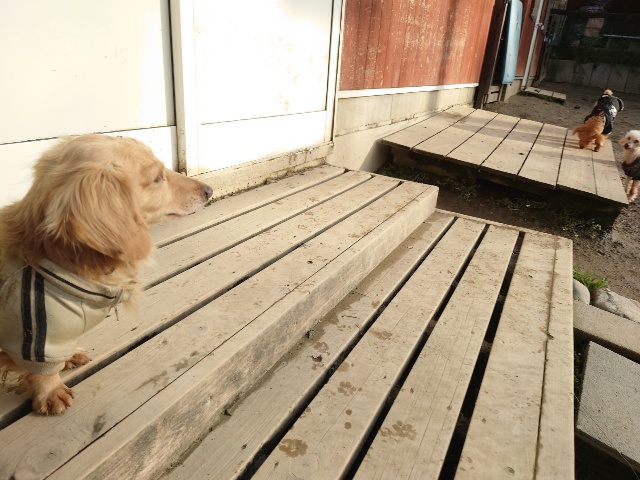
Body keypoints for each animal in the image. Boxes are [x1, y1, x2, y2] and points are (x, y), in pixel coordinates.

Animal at [0, 134, 213, 414]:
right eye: (157, 178)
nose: (209, 190)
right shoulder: (34, 334)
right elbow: (43, 370)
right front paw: (51, 392)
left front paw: (71, 355)